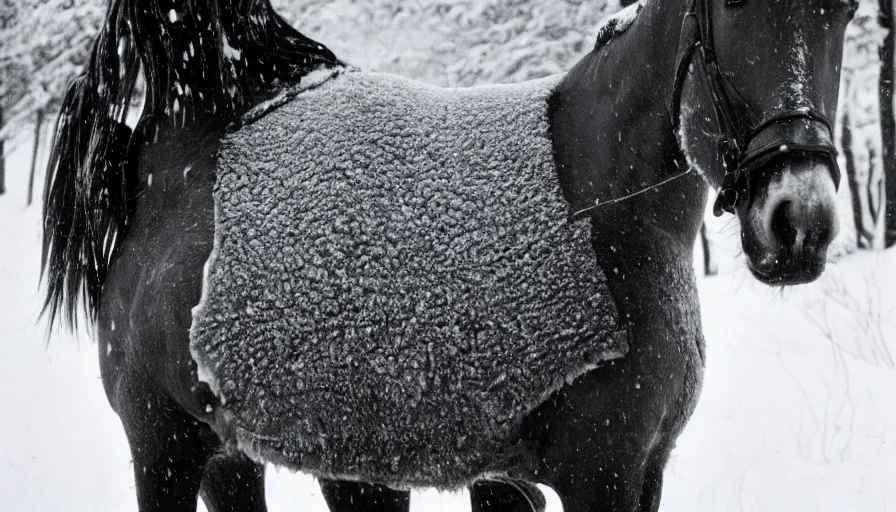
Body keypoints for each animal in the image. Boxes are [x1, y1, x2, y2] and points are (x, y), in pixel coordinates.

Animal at [42, 0, 856, 510]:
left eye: (847, 10)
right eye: (735, 5)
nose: (799, 221)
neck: (598, 203)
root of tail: (174, 138)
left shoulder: (622, 474)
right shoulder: (602, 475)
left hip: (250, 459)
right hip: (167, 449)